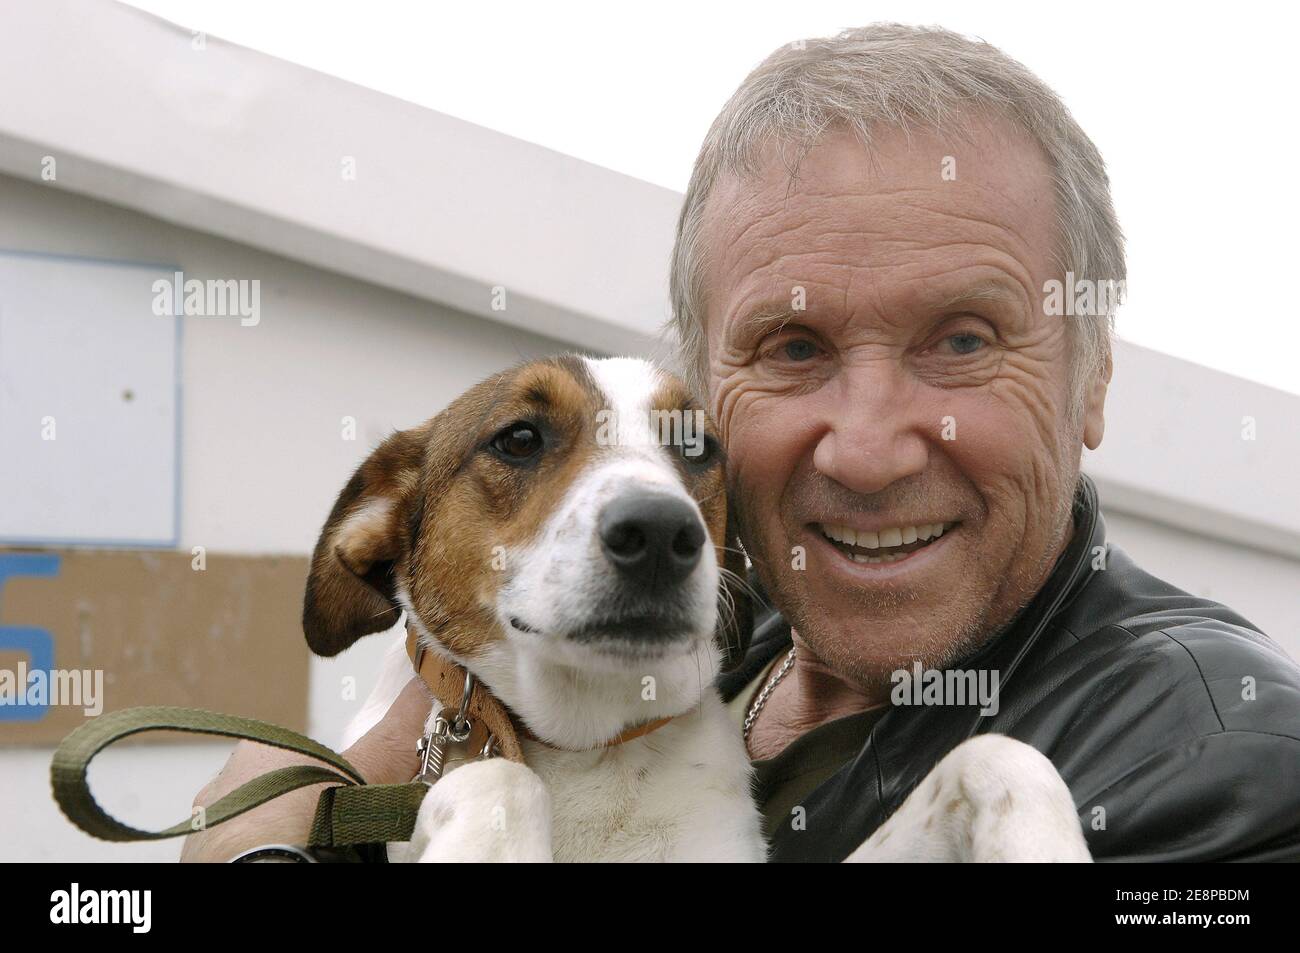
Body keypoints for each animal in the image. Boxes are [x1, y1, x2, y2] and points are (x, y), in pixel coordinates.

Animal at [301, 356, 1086, 863]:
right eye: (519, 437)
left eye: (697, 444)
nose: (658, 532)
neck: (594, 750)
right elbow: (504, 777)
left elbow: (1002, 754)